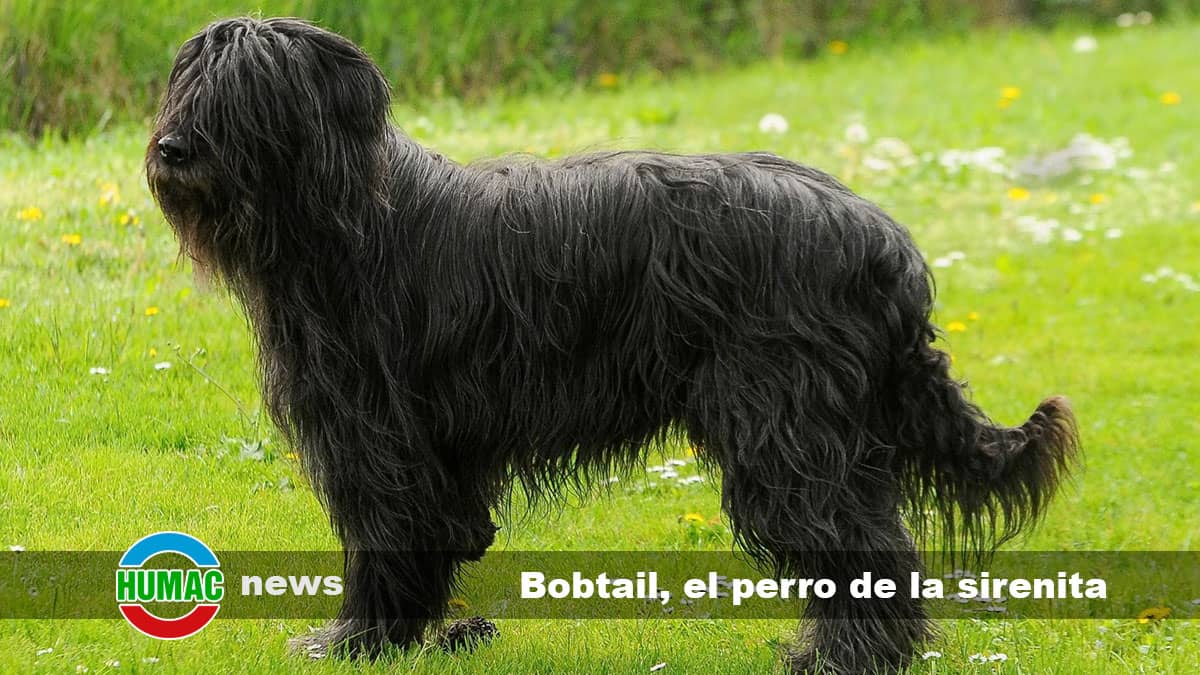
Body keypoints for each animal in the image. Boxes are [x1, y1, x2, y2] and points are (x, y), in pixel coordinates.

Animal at [147, 18, 1080, 667]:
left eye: (246, 93)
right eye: (184, 84)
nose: (172, 148)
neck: (343, 221)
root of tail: (882, 235)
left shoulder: (376, 434)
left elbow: (391, 536)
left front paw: (357, 644)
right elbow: (442, 534)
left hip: (787, 424)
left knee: (858, 540)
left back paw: (844, 656)